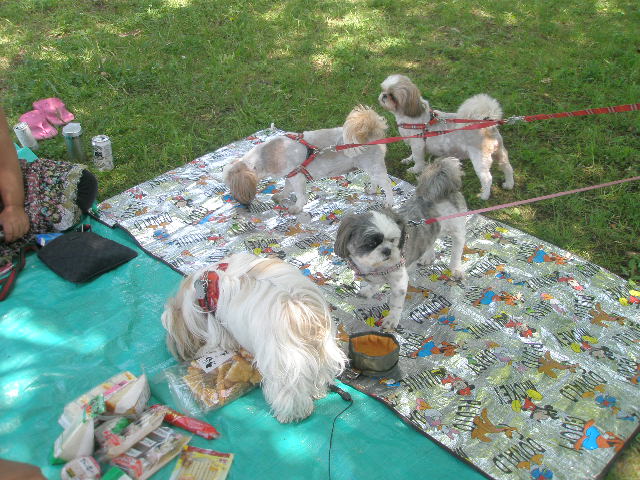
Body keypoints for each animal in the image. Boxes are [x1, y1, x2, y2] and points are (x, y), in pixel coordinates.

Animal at [161, 253, 346, 423]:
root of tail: (302, 312)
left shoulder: (218, 328)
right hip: (322, 350)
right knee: (319, 374)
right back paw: (318, 392)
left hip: (284, 363)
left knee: (289, 392)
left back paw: (291, 414)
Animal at [223, 105, 393, 213]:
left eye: (232, 186)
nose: (237, 200)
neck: (267, 155)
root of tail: (370, 133)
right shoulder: (290, 175)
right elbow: (287, 188)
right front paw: (281, 196)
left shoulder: (297, 177)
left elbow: (299, 194)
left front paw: (297, 207)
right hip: (369, 166)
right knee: (375, 180)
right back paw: (372, 190)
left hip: (373, 166)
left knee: (386, 184)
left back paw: (389, 202)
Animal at [334, 157, 467, 329]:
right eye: (371, 243)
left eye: (393, 240)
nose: (387, 250)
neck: (375, 268)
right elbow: (373, 285)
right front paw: (369, 290)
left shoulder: (399, 283)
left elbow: (395, 304)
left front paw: (392, 319)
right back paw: (427, 256)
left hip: (457, 228)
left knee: (458, 247)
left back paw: (455, 268)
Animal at [378, 74, 514, 200]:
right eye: (383, 89)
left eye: (393, 96)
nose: (384, 95)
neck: (411, 117)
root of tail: (487, 125)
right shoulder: (414, 144)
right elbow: (412, 155)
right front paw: (408, 159)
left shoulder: (418, 144)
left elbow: (418, 159)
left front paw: (414, 169)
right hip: (499, 152)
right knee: (507, 167)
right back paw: (509, 184)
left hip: (480, 159)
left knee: (487, 178)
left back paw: (484, 195)